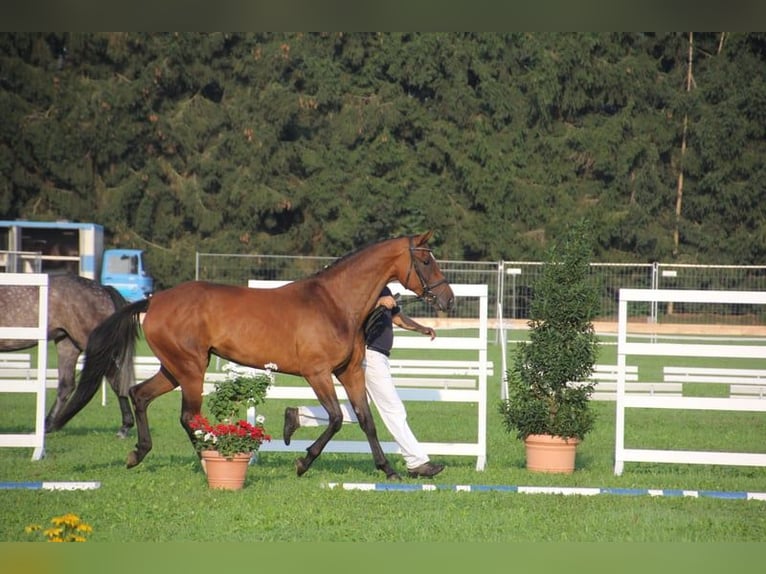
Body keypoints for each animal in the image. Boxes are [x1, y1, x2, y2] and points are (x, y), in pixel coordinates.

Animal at [0, 273, 136, 438]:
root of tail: (104, 289)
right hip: (67, 344)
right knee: (66, 386)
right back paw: (47, 426)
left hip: (93, 345)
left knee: (114, 378)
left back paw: (124, 428)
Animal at [50, 231, 454, 480]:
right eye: (427, 262)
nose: (448, 300)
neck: (335, 303)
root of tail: (154, 300)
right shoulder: (318, 373)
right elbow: (338, 419)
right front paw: (302, 462)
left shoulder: (350, 372)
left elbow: (366, 420)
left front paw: (391, 470)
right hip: (191, 370)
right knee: (188, 416)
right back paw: (208, 460)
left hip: (174, 369)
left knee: (140, 396)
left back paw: (139, 453)